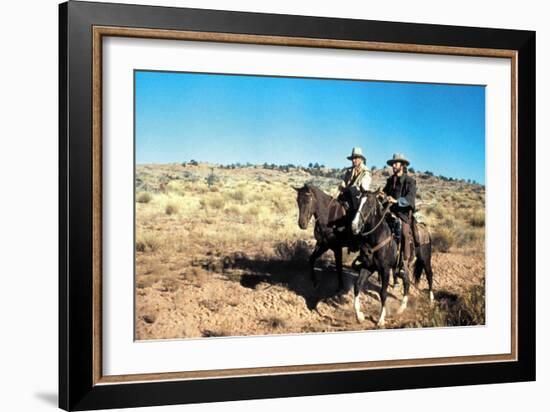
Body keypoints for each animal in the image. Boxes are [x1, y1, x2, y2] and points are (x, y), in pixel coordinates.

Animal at [350, 192, 436, 326]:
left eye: (369, 204)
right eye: (358, 202)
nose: (354, 226)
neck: (378, 237)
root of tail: (425, 229)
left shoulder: (385, 270)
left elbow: (383, 293)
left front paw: (381, 319)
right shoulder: (367, 266)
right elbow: (357, 285)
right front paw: (359, 316)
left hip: (425, 259)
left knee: (429, 275)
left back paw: (431, 300)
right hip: (404, 266)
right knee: (406, 282)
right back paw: (402, 308)